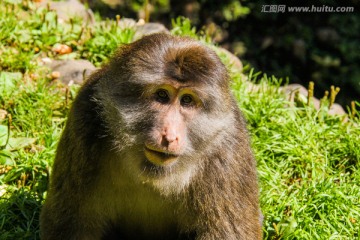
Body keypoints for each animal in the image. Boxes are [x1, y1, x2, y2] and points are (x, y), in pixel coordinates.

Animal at [40, 32, 262, 239]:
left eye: (187, 100)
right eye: (162, 95)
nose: (169, 136)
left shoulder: (228, 149)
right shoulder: (85, 119)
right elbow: (72, 225)